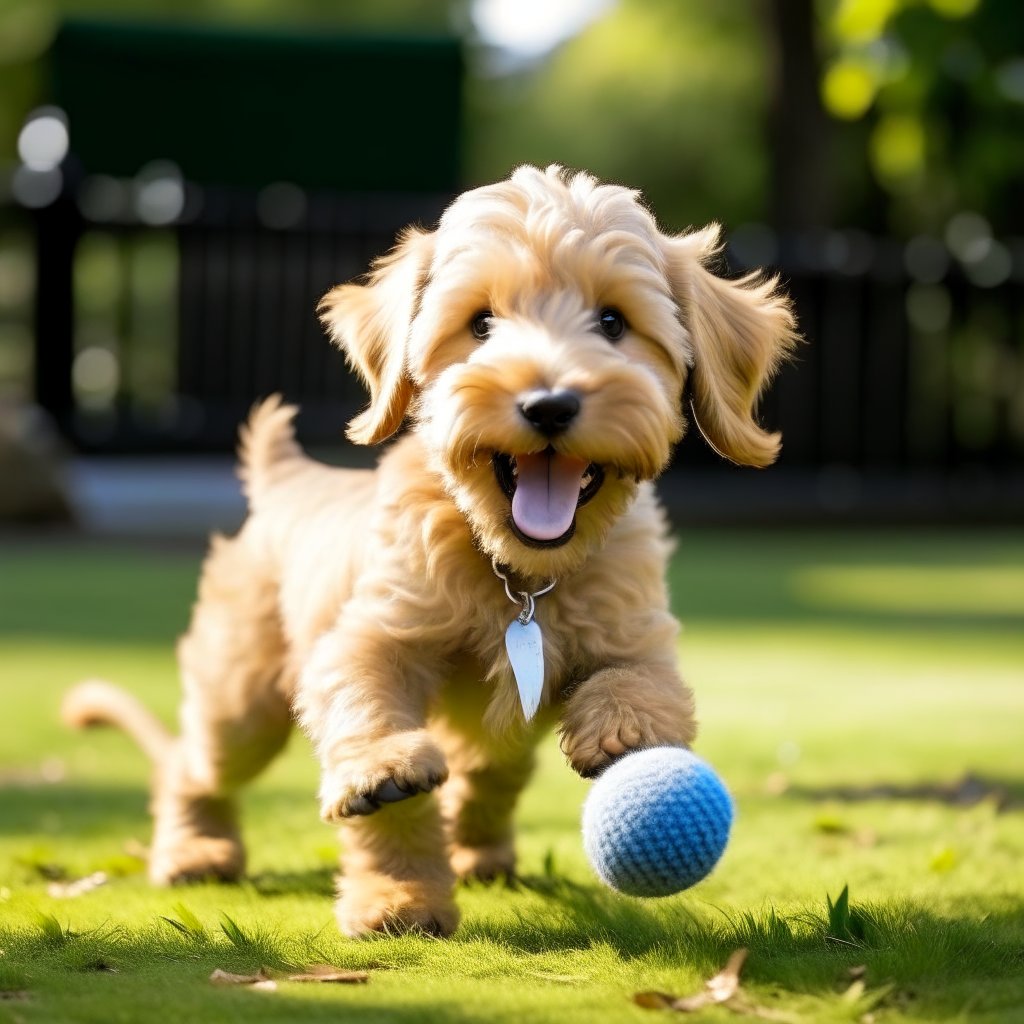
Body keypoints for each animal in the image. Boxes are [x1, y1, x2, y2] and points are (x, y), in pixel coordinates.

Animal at [66, 165, 798, 937]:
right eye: (480, 324)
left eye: (612, 323)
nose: (548, 404)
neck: (516, 575)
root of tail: (284, 476)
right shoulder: (368, 638)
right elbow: (380, 760)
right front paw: (398, 891)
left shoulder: (636, 634)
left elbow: (639, 683)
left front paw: (625, 727)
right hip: (240, 702)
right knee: (192, 765)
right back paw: (196, 850)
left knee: (492, 775)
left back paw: (482, 851)